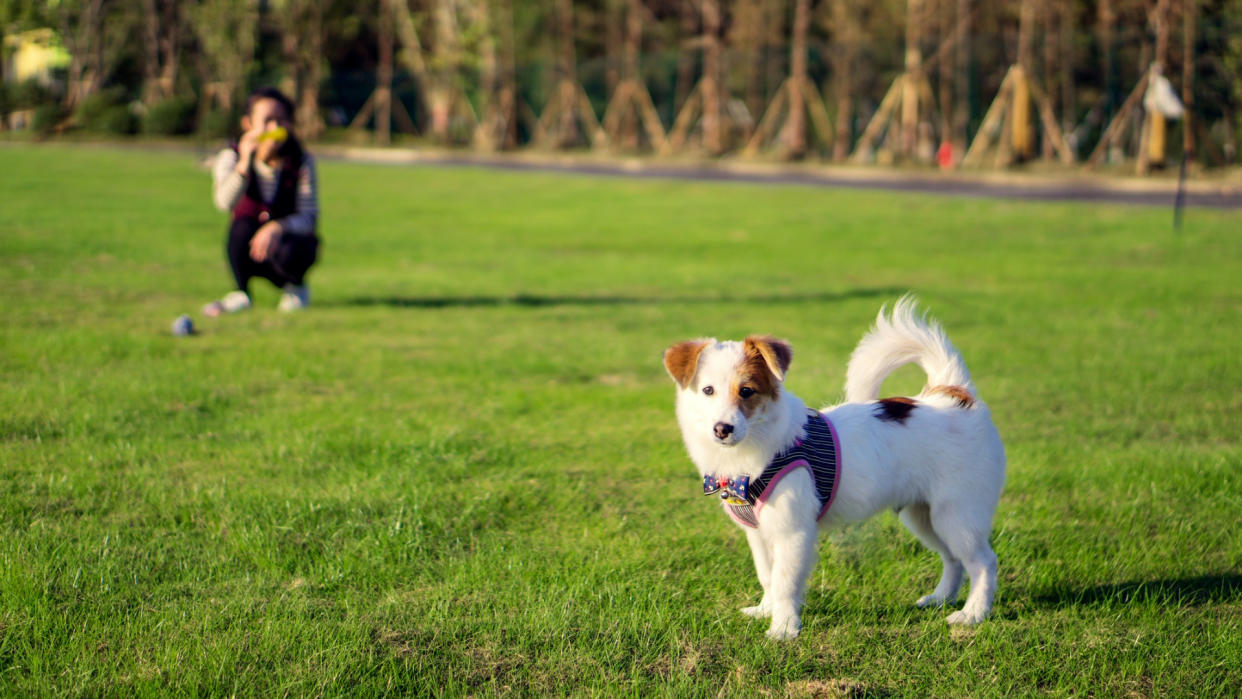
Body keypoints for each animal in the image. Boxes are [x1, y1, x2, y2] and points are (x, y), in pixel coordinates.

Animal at [665, 297, 1003, 640]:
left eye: (747, 391)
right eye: (708, 391)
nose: (722, 429)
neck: (755, 450)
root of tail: (952, 393)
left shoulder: (793, 531)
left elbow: (784, 582)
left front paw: (783, 628)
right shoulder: (758, 534)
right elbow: (768, 577)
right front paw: (765, 611)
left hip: (958, 514)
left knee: (983, 562)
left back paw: (973, 613)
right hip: (924, 515)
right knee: (953, 559)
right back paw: (940, 599)